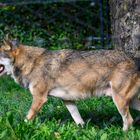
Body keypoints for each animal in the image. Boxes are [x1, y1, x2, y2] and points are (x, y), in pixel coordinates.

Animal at [0, 37, 140, 131]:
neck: (30, 63)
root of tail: (134, 59)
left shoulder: (39, 98)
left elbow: (27, 117)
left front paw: (18, 127)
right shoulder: (68, 100)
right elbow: (78, 120)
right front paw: (82, 132)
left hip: (120, 101)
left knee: (129, 120)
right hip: (129, 101)